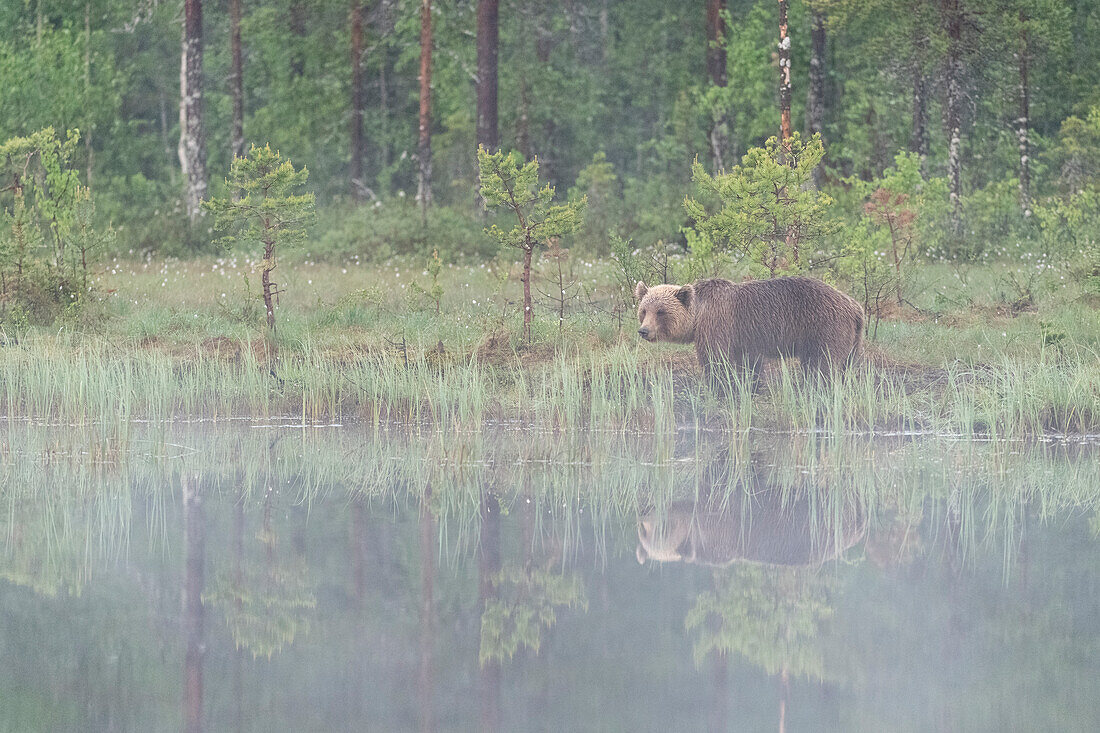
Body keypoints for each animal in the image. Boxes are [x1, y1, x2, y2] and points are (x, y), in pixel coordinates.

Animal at [638, 277, 866, 385]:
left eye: (661, 311)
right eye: (643, 310)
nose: (643, 331)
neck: (698, 316)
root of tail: (856, 307)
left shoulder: (717, 326)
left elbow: (716, 362)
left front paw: (718, 387)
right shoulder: (744, 338)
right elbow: (750, 365)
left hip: (825, 327)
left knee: (822, 365)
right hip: (852, 340)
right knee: (844, 367)